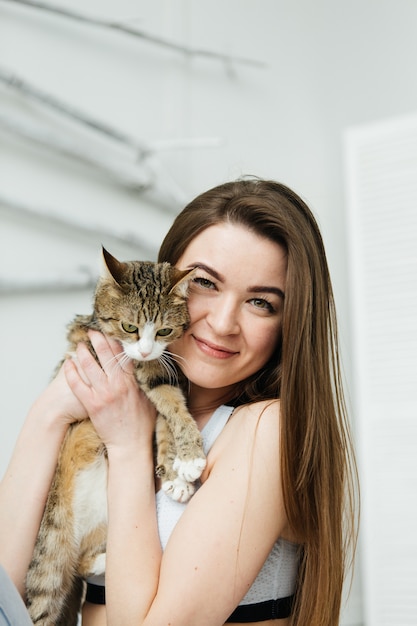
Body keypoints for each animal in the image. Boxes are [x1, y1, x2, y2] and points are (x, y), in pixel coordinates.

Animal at [25, 247, 205, 624]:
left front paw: (176, 473)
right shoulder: (118, 356)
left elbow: (165, 411)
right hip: (49, 555)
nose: (146, 349)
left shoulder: (162, 366)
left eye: (165, 330)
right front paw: (191, 458)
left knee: (83, 562)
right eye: (129, 327)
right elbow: (169, 401)